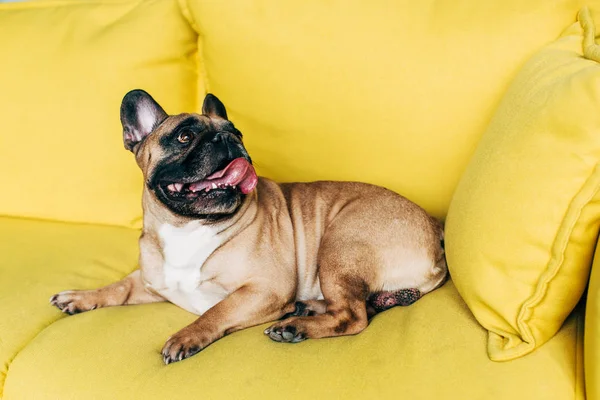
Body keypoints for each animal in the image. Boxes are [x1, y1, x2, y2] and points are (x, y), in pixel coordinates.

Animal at [50, 89, 446, 364]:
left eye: (237, 133)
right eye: (183, 137)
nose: (226, 139)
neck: (186, 227)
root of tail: (434, 229)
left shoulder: (263, 289)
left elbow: (217, 310)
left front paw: (186, 336)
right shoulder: (151, 280)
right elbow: (118, 287)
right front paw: (80, 297)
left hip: (340, 244)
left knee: (353, 316)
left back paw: (294, 326)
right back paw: (307, 308)